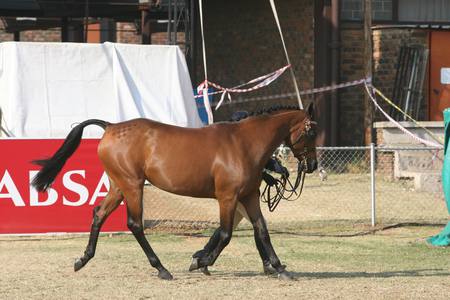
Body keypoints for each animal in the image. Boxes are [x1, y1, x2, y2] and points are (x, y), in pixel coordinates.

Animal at [31, 103, 318, 282]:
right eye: (311, 132)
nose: (313, 165)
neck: (243, 143)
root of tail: (110, 126)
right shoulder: (227, 197)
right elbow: (225, 234)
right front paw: (201, 262)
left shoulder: (248, 197)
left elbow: (262, 230)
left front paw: (280, 268)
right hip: (133, 186)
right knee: (135, 224)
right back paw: (161, 268)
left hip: (119, 186)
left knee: (99, 215)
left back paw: (83, 259)